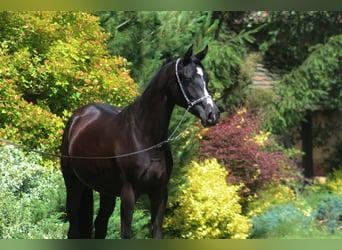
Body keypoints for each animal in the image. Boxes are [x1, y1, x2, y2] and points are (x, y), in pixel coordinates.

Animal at [60, 45, 220, 238]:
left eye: (206, 78)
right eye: (187, 78)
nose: (213, 114)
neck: (146, 137)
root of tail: (78, 117)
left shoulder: (159, 192)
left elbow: (157, 232)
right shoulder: (129, 194)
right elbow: (126, 234)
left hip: (105, 190)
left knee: (100, 224)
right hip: (73, 183)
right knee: (74, 228)